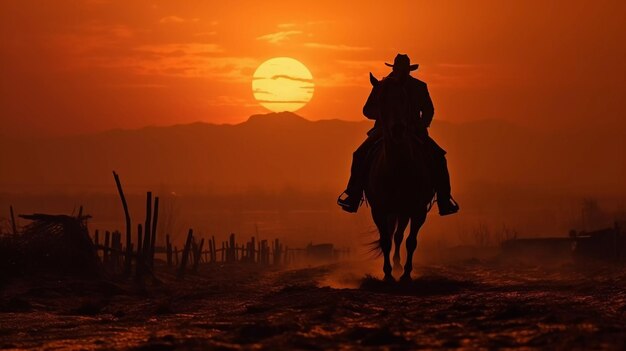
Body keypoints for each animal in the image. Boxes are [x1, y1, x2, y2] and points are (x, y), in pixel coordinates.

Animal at [360, 73, 434, 284]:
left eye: (404, 98)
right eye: (380, 100)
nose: (398, 129)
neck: (398, 169)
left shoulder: (417, 210)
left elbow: (411, 241)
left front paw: (406, 274)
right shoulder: (379, 209)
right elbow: (385, 240)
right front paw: (387, 274)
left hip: (403, 211)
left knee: (399, 235)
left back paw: (399, 265)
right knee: (393, 235)